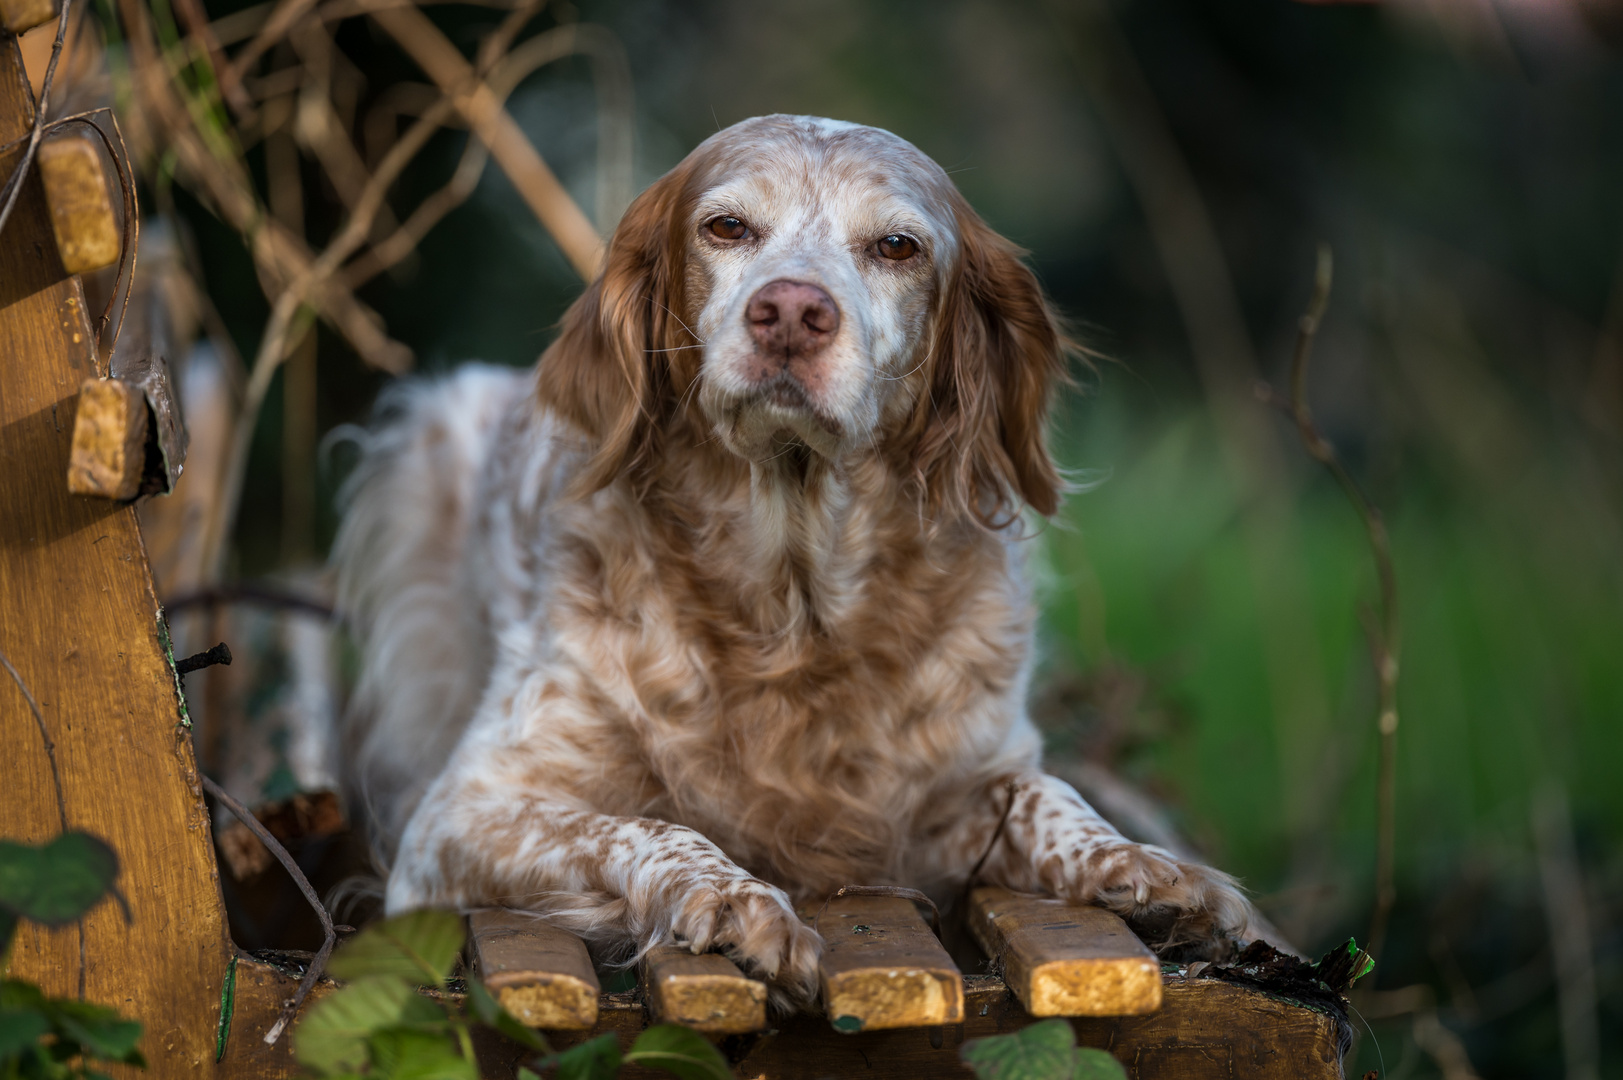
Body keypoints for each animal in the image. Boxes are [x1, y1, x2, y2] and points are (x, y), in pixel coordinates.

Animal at [332, 111, 1252, 1000]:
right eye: (727, 227)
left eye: (896, 246)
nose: (790, 311)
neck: (794, 606)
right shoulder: (456, 819)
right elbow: (651, 826)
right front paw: (735, 900)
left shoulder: (949, 793)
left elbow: (1047, 794)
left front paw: (1151, 870)